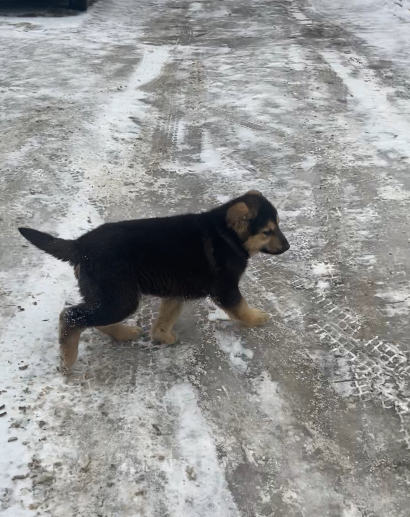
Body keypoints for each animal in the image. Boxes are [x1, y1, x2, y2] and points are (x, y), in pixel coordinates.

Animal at [18, 189, 288, 370]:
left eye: (278, 226)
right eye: (267, 231)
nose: (287, 247)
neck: (228, 235)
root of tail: (79, 245)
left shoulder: (176, 290)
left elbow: (166, 317)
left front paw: (161, 337)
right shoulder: (226, 288)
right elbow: (242, 308)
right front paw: (257, 318)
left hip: (110, 296)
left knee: (90, 319)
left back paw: (124, 334)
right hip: (120, 298)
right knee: (71, 316)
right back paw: (68, 359)